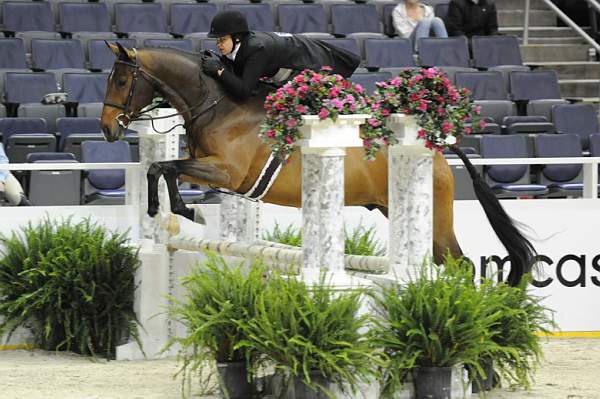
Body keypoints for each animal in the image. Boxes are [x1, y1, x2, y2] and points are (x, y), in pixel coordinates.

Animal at [99, 43, 536, 286]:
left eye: (120, 82)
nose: (107, 128)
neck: (217, 103)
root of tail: (438, 148)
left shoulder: (228, 172)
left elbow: (165, 168)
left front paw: (185, 212)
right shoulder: (215, 172)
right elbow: (161, 168)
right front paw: (171, 212)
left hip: (435, 217)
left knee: (461, 265)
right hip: (396, 210)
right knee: (452, 263)